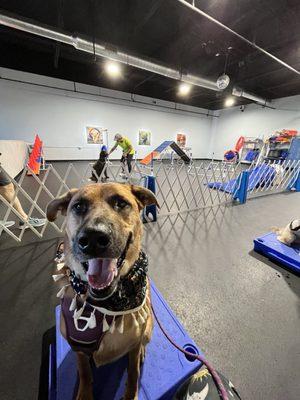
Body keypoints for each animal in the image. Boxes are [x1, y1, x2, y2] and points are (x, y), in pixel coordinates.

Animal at [46, 183, 158, 398]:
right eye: (79, 206)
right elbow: (84, 372)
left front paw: (130, 394)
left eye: (121, 203)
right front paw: (84, 394)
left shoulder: (134, 343)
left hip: (147, 329)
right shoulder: (78, 346)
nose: (93, 238)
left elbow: (133, 373)